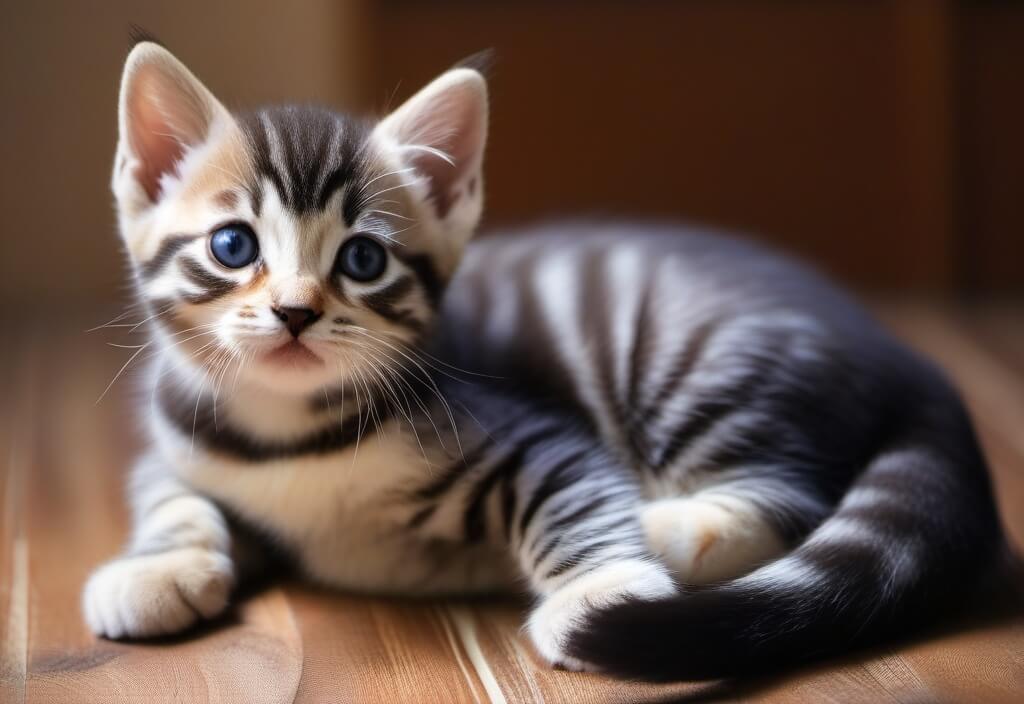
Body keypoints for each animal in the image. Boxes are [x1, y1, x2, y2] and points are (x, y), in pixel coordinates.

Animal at [83, 41, 1003, 679]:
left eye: (363, 260)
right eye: (233, 246)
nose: (296, 311)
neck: (286, 435)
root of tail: (904, 352)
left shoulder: (532, 436)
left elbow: (577, 499)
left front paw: (601, 591)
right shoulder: (177, 437)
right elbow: (167, 493)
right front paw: (157, 565)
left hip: (699, 368)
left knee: (791, 494)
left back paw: (656, 530)